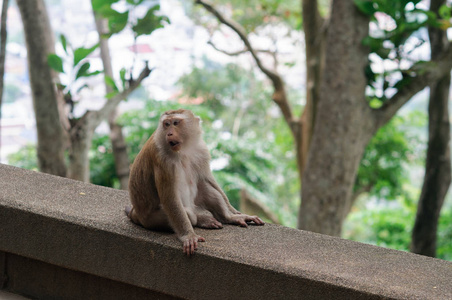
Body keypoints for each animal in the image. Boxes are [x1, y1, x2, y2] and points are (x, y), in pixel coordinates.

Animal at [125, 109, 264, 256]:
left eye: (175, 123)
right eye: (166, 124)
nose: (169, 133)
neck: (184, 149)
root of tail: (136, 214)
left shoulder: (202, 149)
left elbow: (208, 179)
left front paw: (234, 212)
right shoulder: (162, 159)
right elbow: (170, 197)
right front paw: (188, 236)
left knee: (207, 190)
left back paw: (225, 218)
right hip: (151, 220)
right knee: (189, 215)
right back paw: (199, 221)